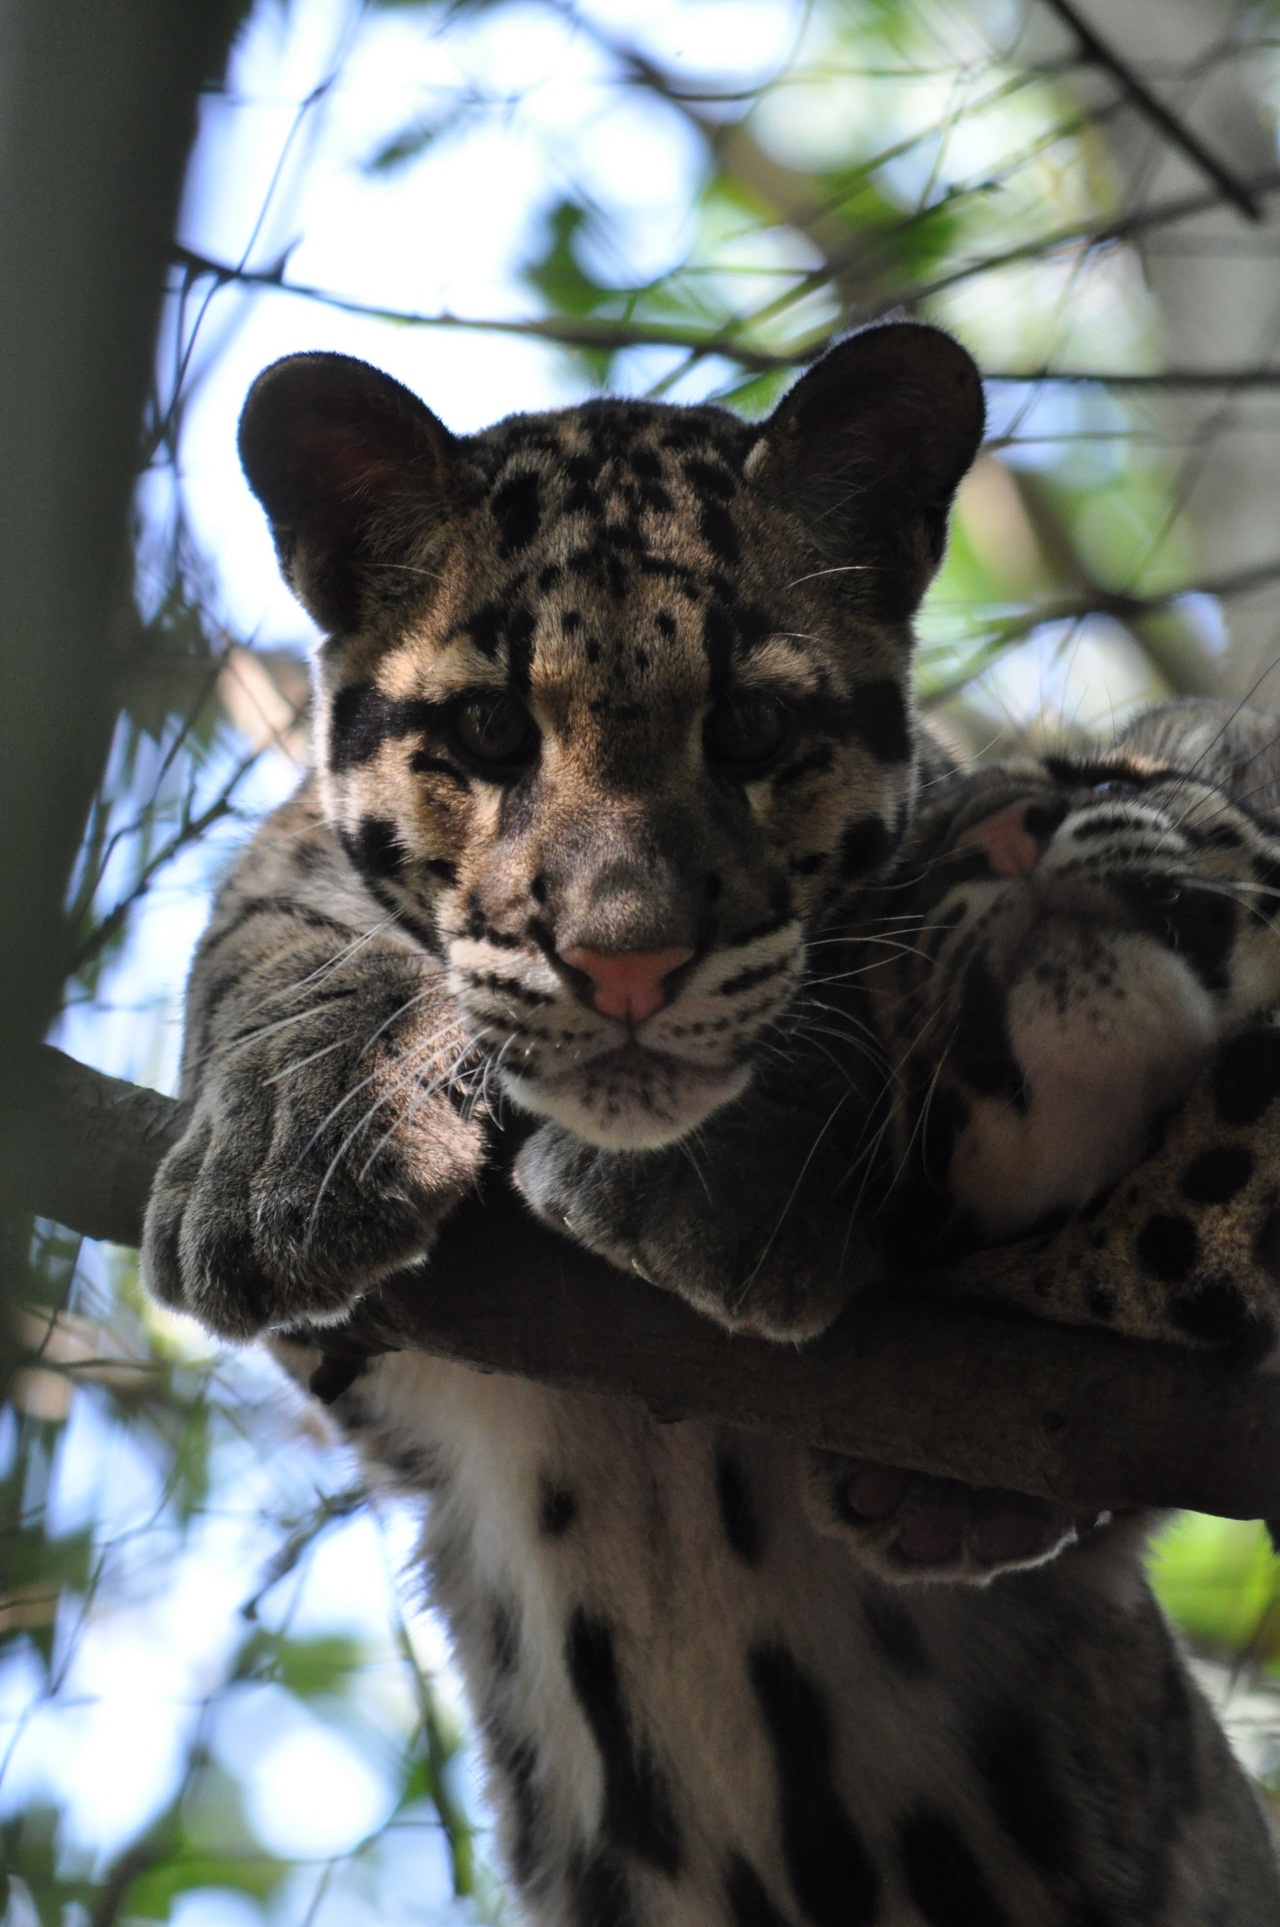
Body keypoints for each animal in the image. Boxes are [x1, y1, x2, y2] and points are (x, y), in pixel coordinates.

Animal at [142, 323, 1280, 1919]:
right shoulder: (369, 1368)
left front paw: (716, 1189)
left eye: (750, 727)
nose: (624, 958)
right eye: (488, 728)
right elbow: (275, 903)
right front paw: (288, 1152)